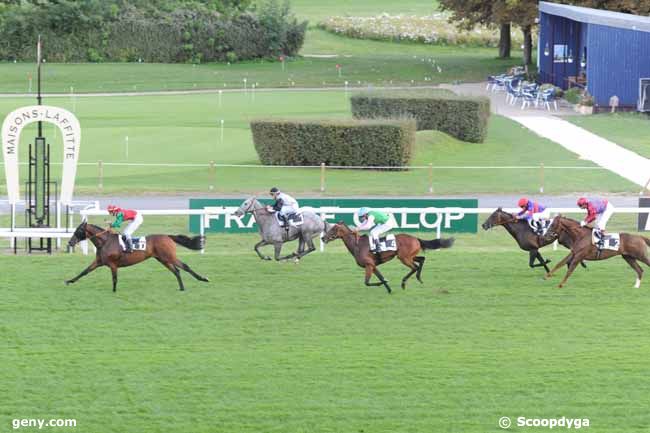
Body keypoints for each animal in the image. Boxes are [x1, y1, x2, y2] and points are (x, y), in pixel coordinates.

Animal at [65, 223, 209, 290]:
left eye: (78, 230)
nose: (70, 242)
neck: (105, 242)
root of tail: (168, 236)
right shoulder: (99, 261)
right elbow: (84, 272)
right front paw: (69, 281)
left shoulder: (112, 264)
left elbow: (114, 278)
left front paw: (114, 291)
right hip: (162, 259)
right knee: (176, 271)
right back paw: (182, 288)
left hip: (169, 257)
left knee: (185, 266)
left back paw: (203, 279)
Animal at [322, 223, 454, 294]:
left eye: (333, 229)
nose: (323, 238)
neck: (357, 245)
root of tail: (415, 238)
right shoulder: (372, 265)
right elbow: (378, 277)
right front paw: (388, 289)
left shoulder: (368, 265)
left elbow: (367, 282)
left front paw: (384, 283)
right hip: (409, 256)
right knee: (422, 259)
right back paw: (419, 278)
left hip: (403, 258)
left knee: (415, 267)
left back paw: (404, 283)